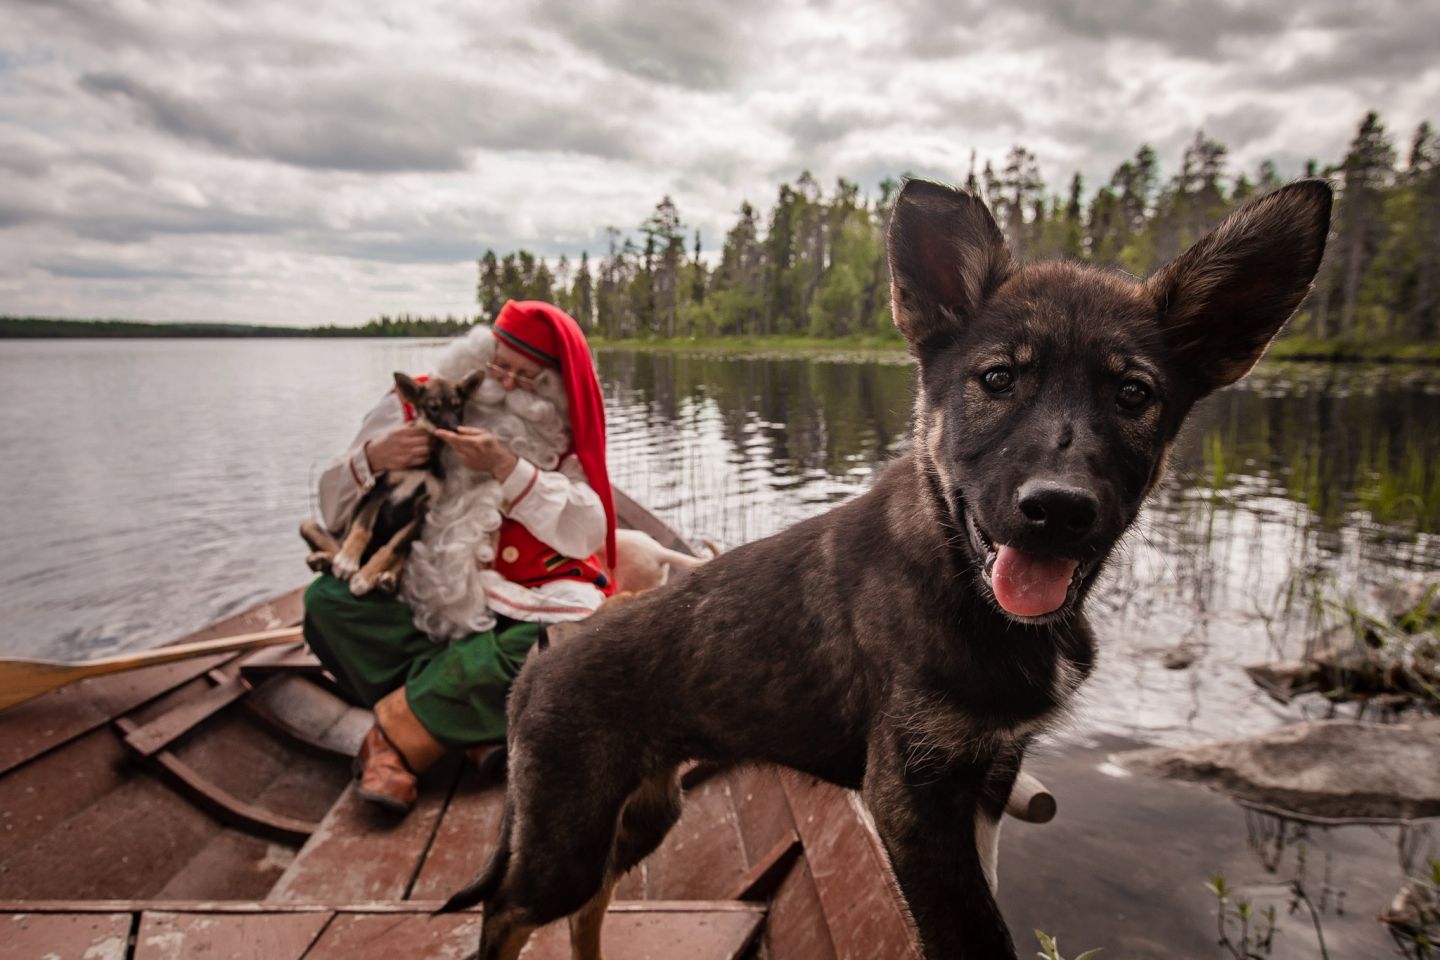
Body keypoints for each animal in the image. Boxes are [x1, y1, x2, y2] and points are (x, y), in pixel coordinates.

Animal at [300, 371, 480, 595]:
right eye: (433, 407)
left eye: (458, 406)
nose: (454, 428)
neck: (423, 464)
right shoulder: (379, 491)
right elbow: (363, 528)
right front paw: (348, 561)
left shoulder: (422, 510)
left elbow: (394, 547)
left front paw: (365, 578)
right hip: (308, 524)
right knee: (336, 549)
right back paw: (326, 560)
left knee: (402, 558)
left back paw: (387, 578)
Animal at [443, 179, 1330, 960]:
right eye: (997, 379)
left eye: (1134, 394)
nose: (1058, 508)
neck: (964, 585)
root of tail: (533, 673)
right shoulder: (910, 795)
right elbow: (974, 937)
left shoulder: (986, 779)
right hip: (569, 828)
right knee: (504, 912)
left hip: (638, 815)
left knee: (585, 907)